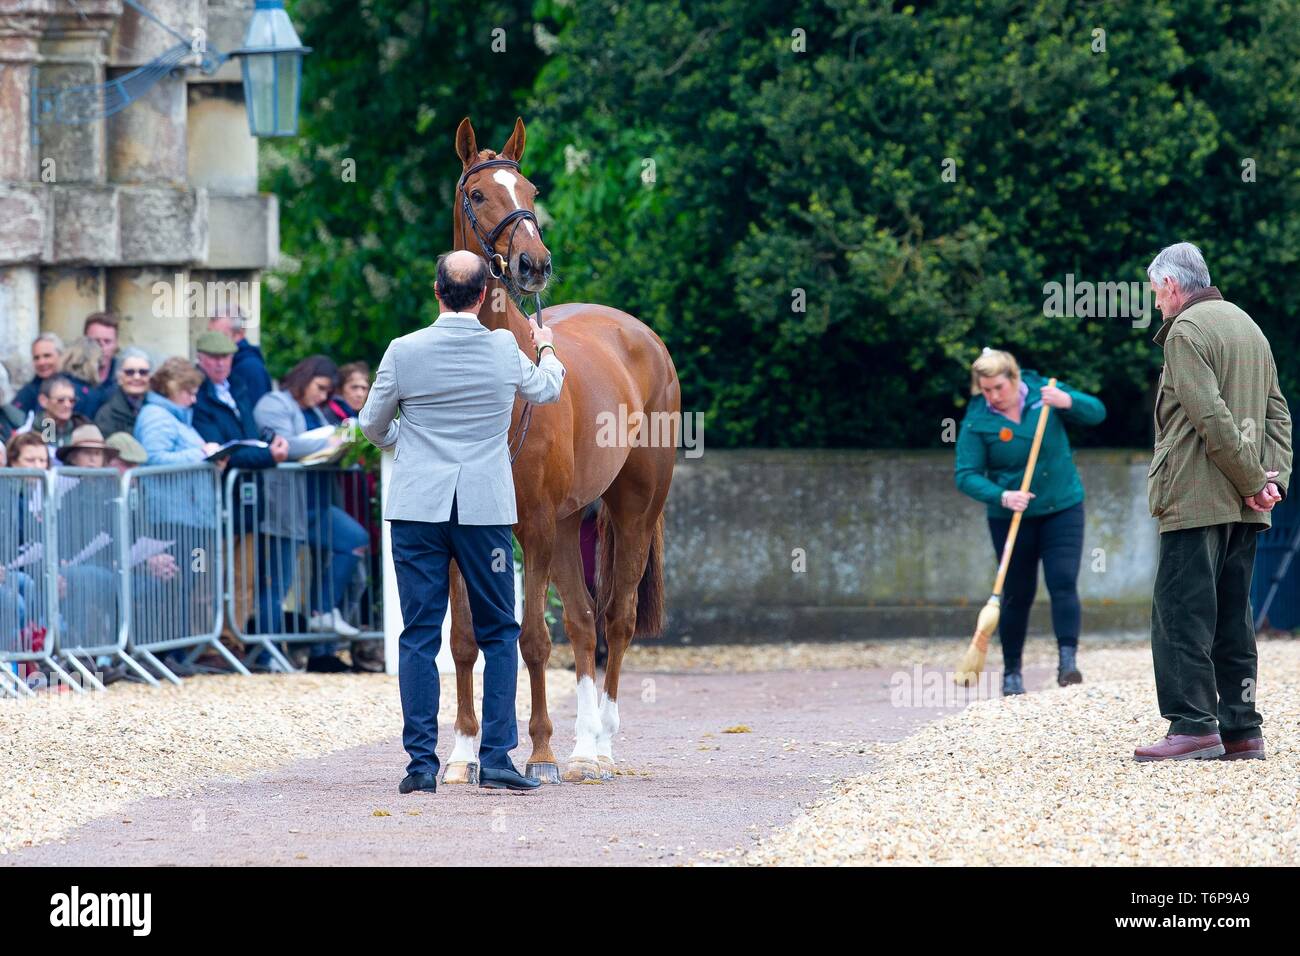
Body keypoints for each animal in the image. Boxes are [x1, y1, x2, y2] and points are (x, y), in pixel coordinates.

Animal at [439, 117, 681, 785]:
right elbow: (466, 641)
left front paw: (540, 753)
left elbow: (532, 641)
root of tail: (640, 336)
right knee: (582, 618)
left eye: (530, 188)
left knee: (615, 620)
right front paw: (463, 755)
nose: (534, 263)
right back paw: (582, 748)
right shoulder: (463, 530)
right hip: (576, 520)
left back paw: (597, 750)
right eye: (477, 194)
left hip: (631, 511)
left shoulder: (538, 528)